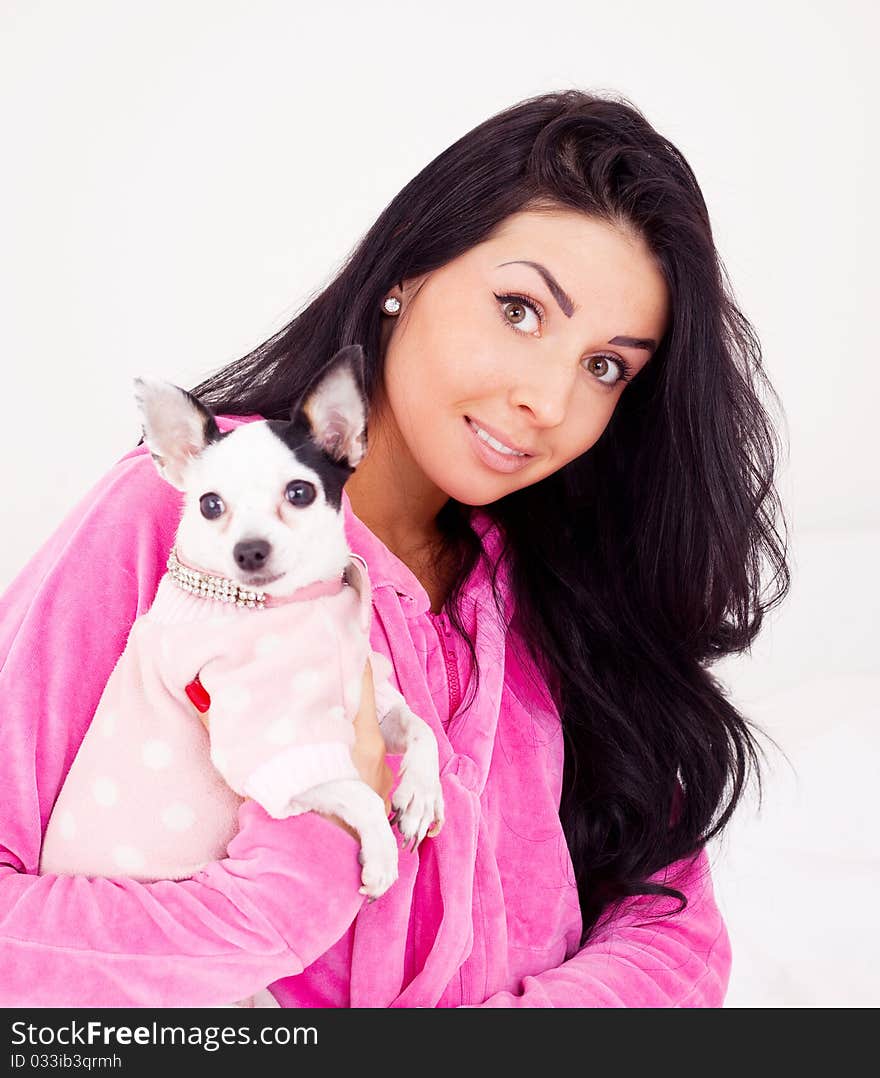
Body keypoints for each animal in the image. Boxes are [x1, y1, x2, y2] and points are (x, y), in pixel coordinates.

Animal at [39, 340, 446, 922]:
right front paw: (383, 855)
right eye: (210, 505)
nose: (249, 550)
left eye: (299, 493)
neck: (296, 604)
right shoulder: (270, 755)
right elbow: (360, 793)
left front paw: (420, 794)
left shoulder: (371, 701)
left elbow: (420, 728)